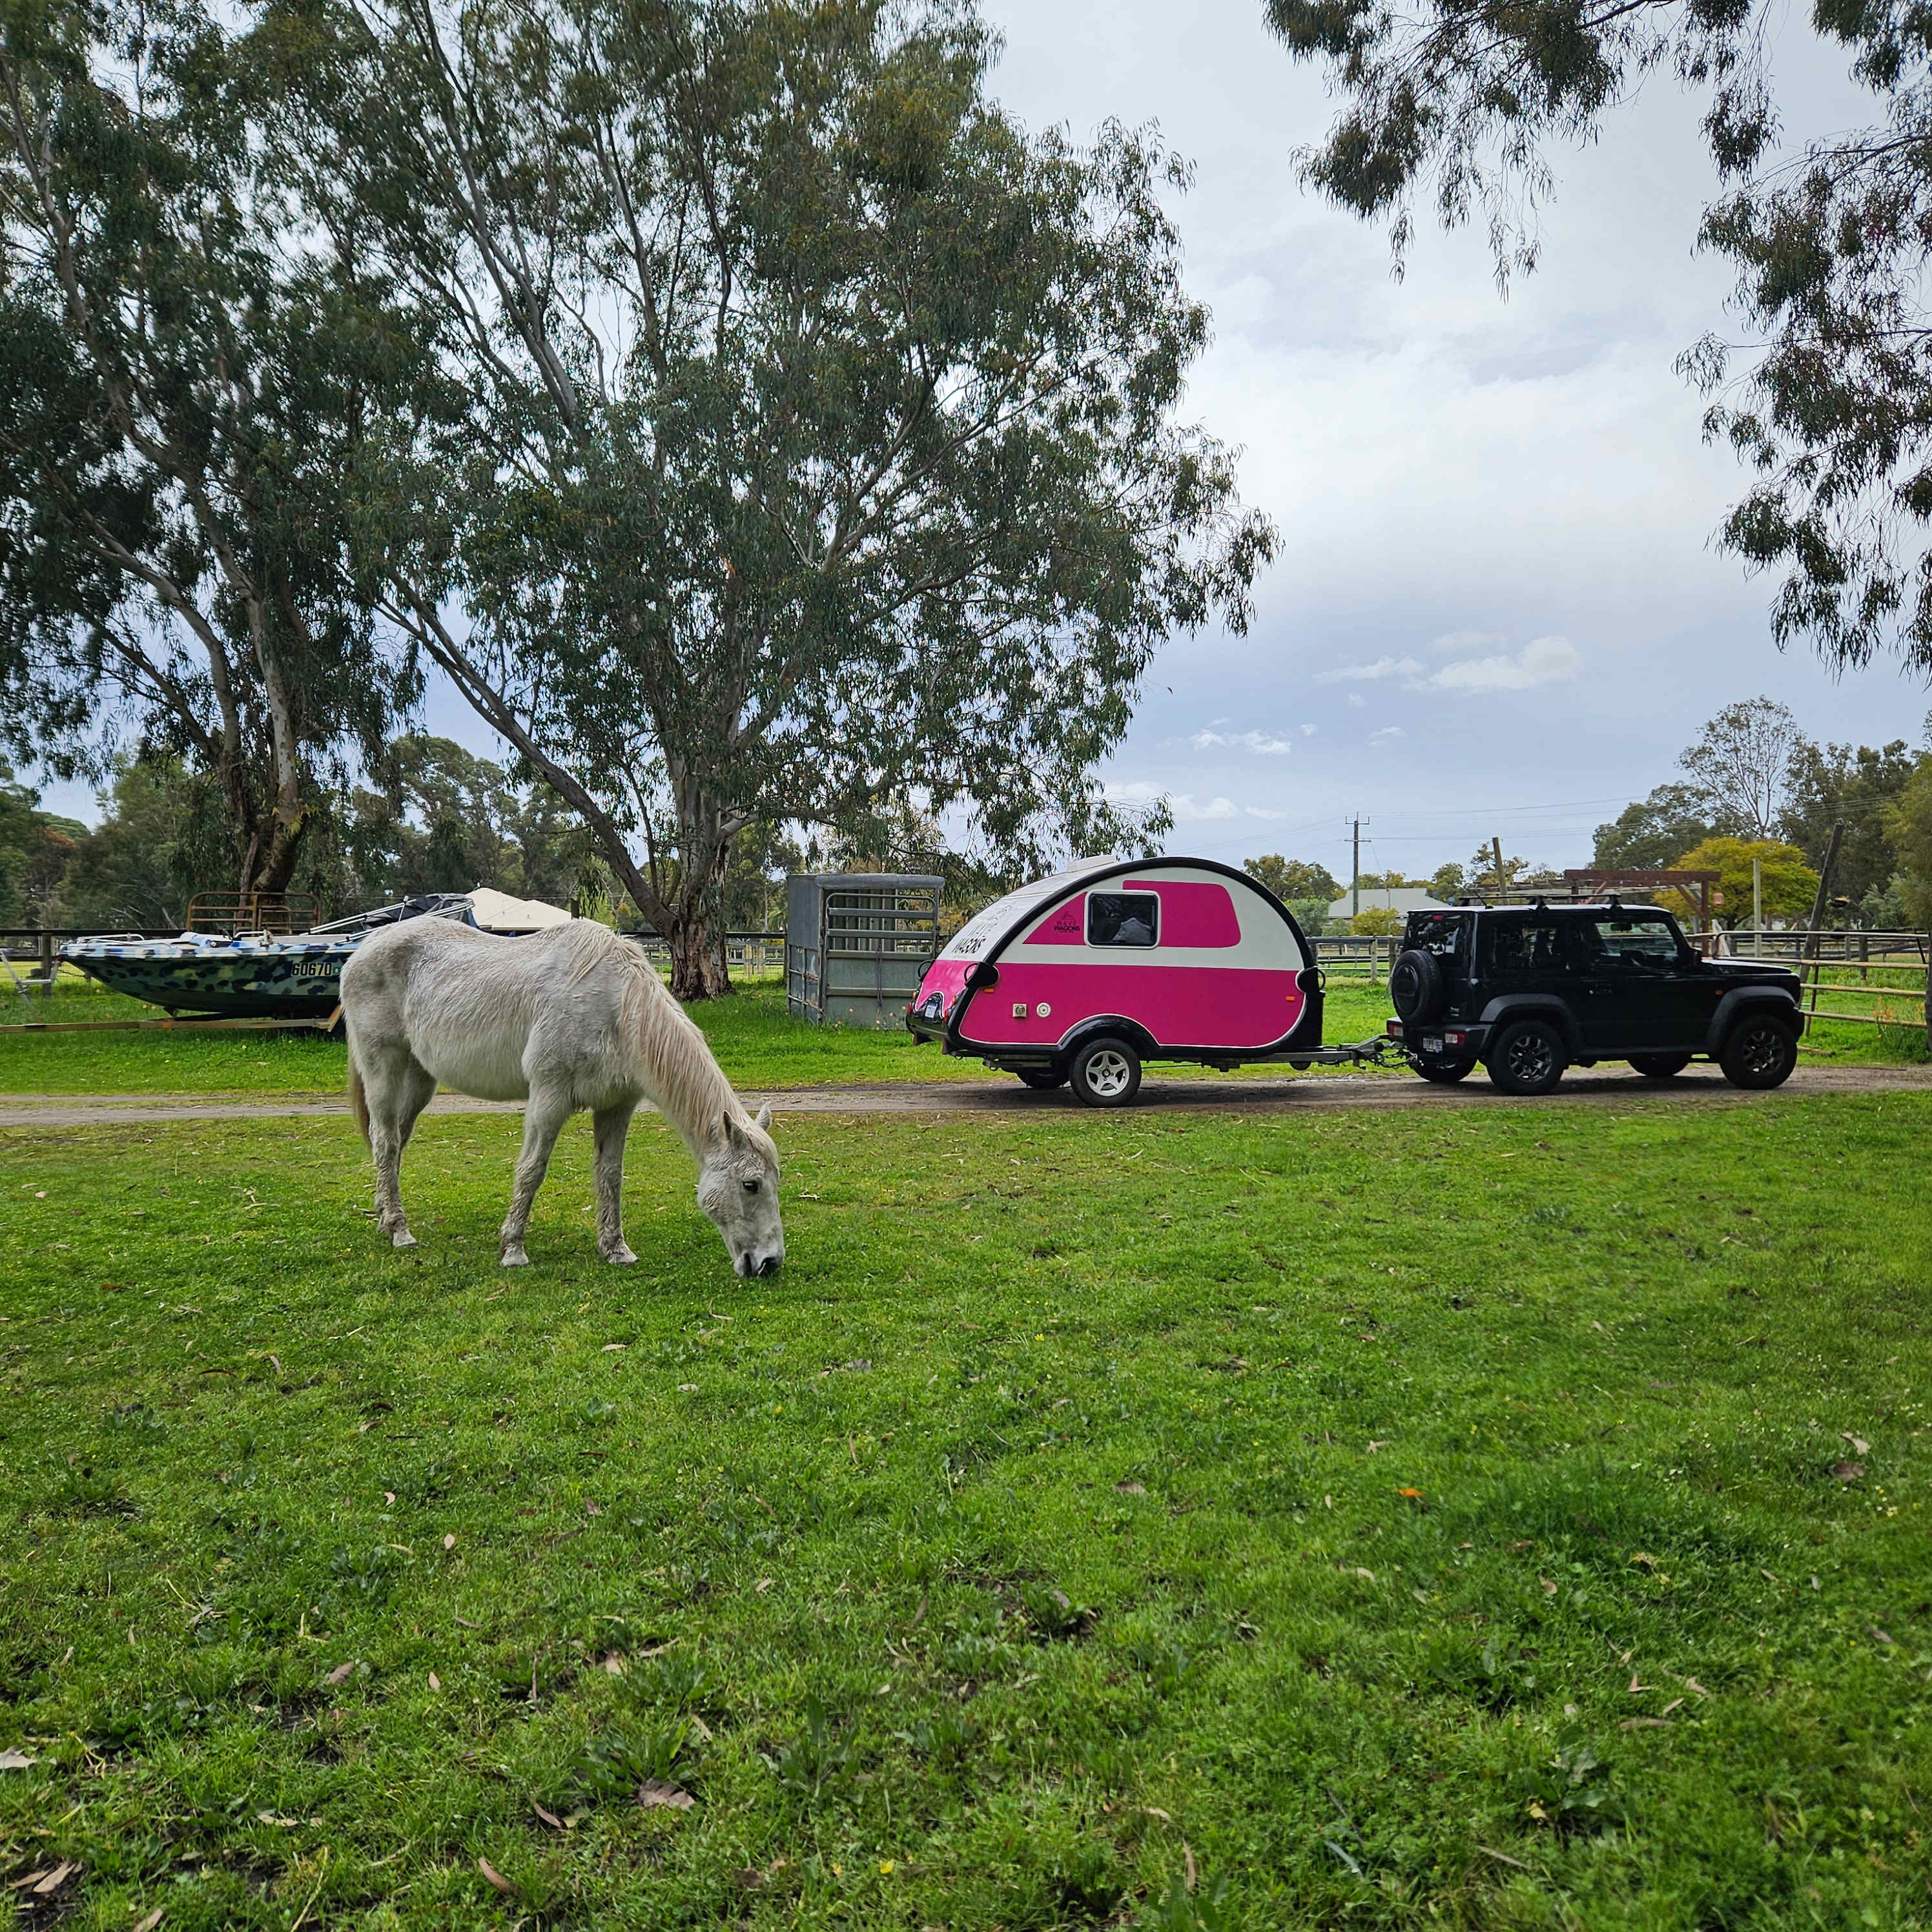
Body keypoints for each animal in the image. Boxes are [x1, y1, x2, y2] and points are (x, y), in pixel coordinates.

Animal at [340, 916, 783, 1274]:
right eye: (751, 1185)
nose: (770, 1263)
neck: (616, 1008)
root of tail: (364, 948)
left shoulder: (616, 1107)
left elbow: (610, 1175)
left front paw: (615, 1249)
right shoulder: (549, 1098)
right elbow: (532, 1170)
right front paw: (513, 1250)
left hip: (420, 1079)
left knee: (396, 1142)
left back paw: (385, 1216)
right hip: (384, 1068)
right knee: (385, 1139)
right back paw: (400, 1231)